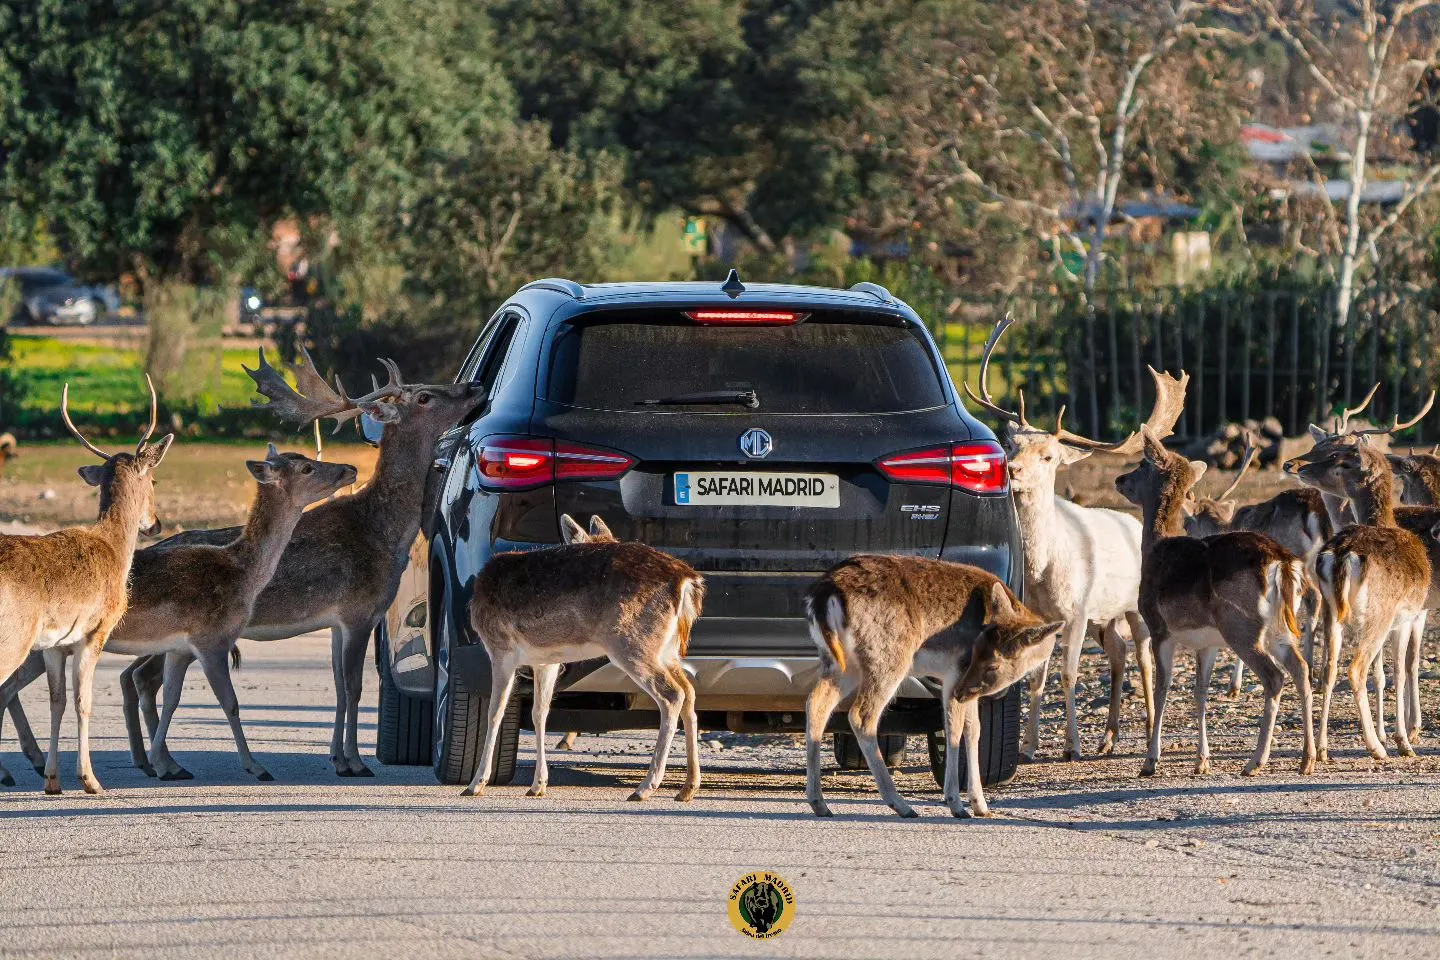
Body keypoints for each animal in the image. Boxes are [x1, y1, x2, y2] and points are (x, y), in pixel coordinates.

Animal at [0, 382, 174, 794]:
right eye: (154, 481)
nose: (156, 523)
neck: (114, 548)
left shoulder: (53, 646)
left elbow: (57, 701)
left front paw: (52, 780)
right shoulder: (94, 631)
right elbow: (84, 701)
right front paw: (91, 780)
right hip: (12, 637)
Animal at [460, 518, 702, 805]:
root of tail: (686, 580)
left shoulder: (500, 648)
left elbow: (495, 712)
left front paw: (476, 783)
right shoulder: (546, 661)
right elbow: (540, 713)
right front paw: (538, 785)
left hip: (632, 643)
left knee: (672, 694)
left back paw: (645, 787)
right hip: (666, 649)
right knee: (689, 691)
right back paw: (688, 787)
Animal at [806, 555, 1065, 817]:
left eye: (990, 661)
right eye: (975, 652)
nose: (961, 691)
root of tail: (824, 595)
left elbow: (974, 729)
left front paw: (981, 806)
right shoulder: (954, 672)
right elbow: (954, 729)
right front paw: (957, 804)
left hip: (841, 663)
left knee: (816, 703)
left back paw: (820, 803)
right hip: (887, 657)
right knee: (861, 715)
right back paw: (901, 804)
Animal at [961, 319, 1186, 759]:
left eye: (1049, 456)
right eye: (1011, 443)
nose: (1010, 468)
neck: (1044, 570)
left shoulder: (1077, 610)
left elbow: (1067, 674)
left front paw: (1072, 746)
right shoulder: (1042, 615)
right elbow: (1035, 677)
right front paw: (1029, 747)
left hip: (1134, 607)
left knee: (1144, 657)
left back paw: (1145, 728)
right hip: (1105, 616)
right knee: (1117, 653)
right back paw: (1108, 738)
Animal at [1111, 428, 1319, 782]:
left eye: (1140, 464)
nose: (1119, 479)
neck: (1153, 550)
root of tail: (1283, 563)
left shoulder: (1160, 628)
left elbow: (1163, 687)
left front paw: (1150, 761)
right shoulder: (1207, 642)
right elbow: (1200, 691)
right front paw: (1202, 760)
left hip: (1243, 627)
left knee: (1274, 677)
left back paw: (1255, 761)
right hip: (1279, 627)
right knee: (1300, 669)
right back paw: (1308, 758)